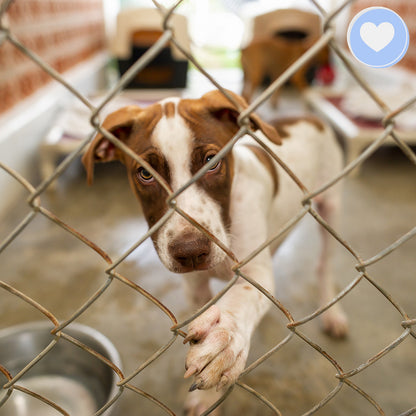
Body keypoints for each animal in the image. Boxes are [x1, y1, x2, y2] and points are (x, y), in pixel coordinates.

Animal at [82, 89, 348, 414]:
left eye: (212, 162)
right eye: (144, 173)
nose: (190, 251)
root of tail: (309, 116)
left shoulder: (254, 272)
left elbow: (243, 298)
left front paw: (226, 338)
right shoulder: (195, 285)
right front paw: (206, 400)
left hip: (331, 207)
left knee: (325, 266)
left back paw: (332, 313)